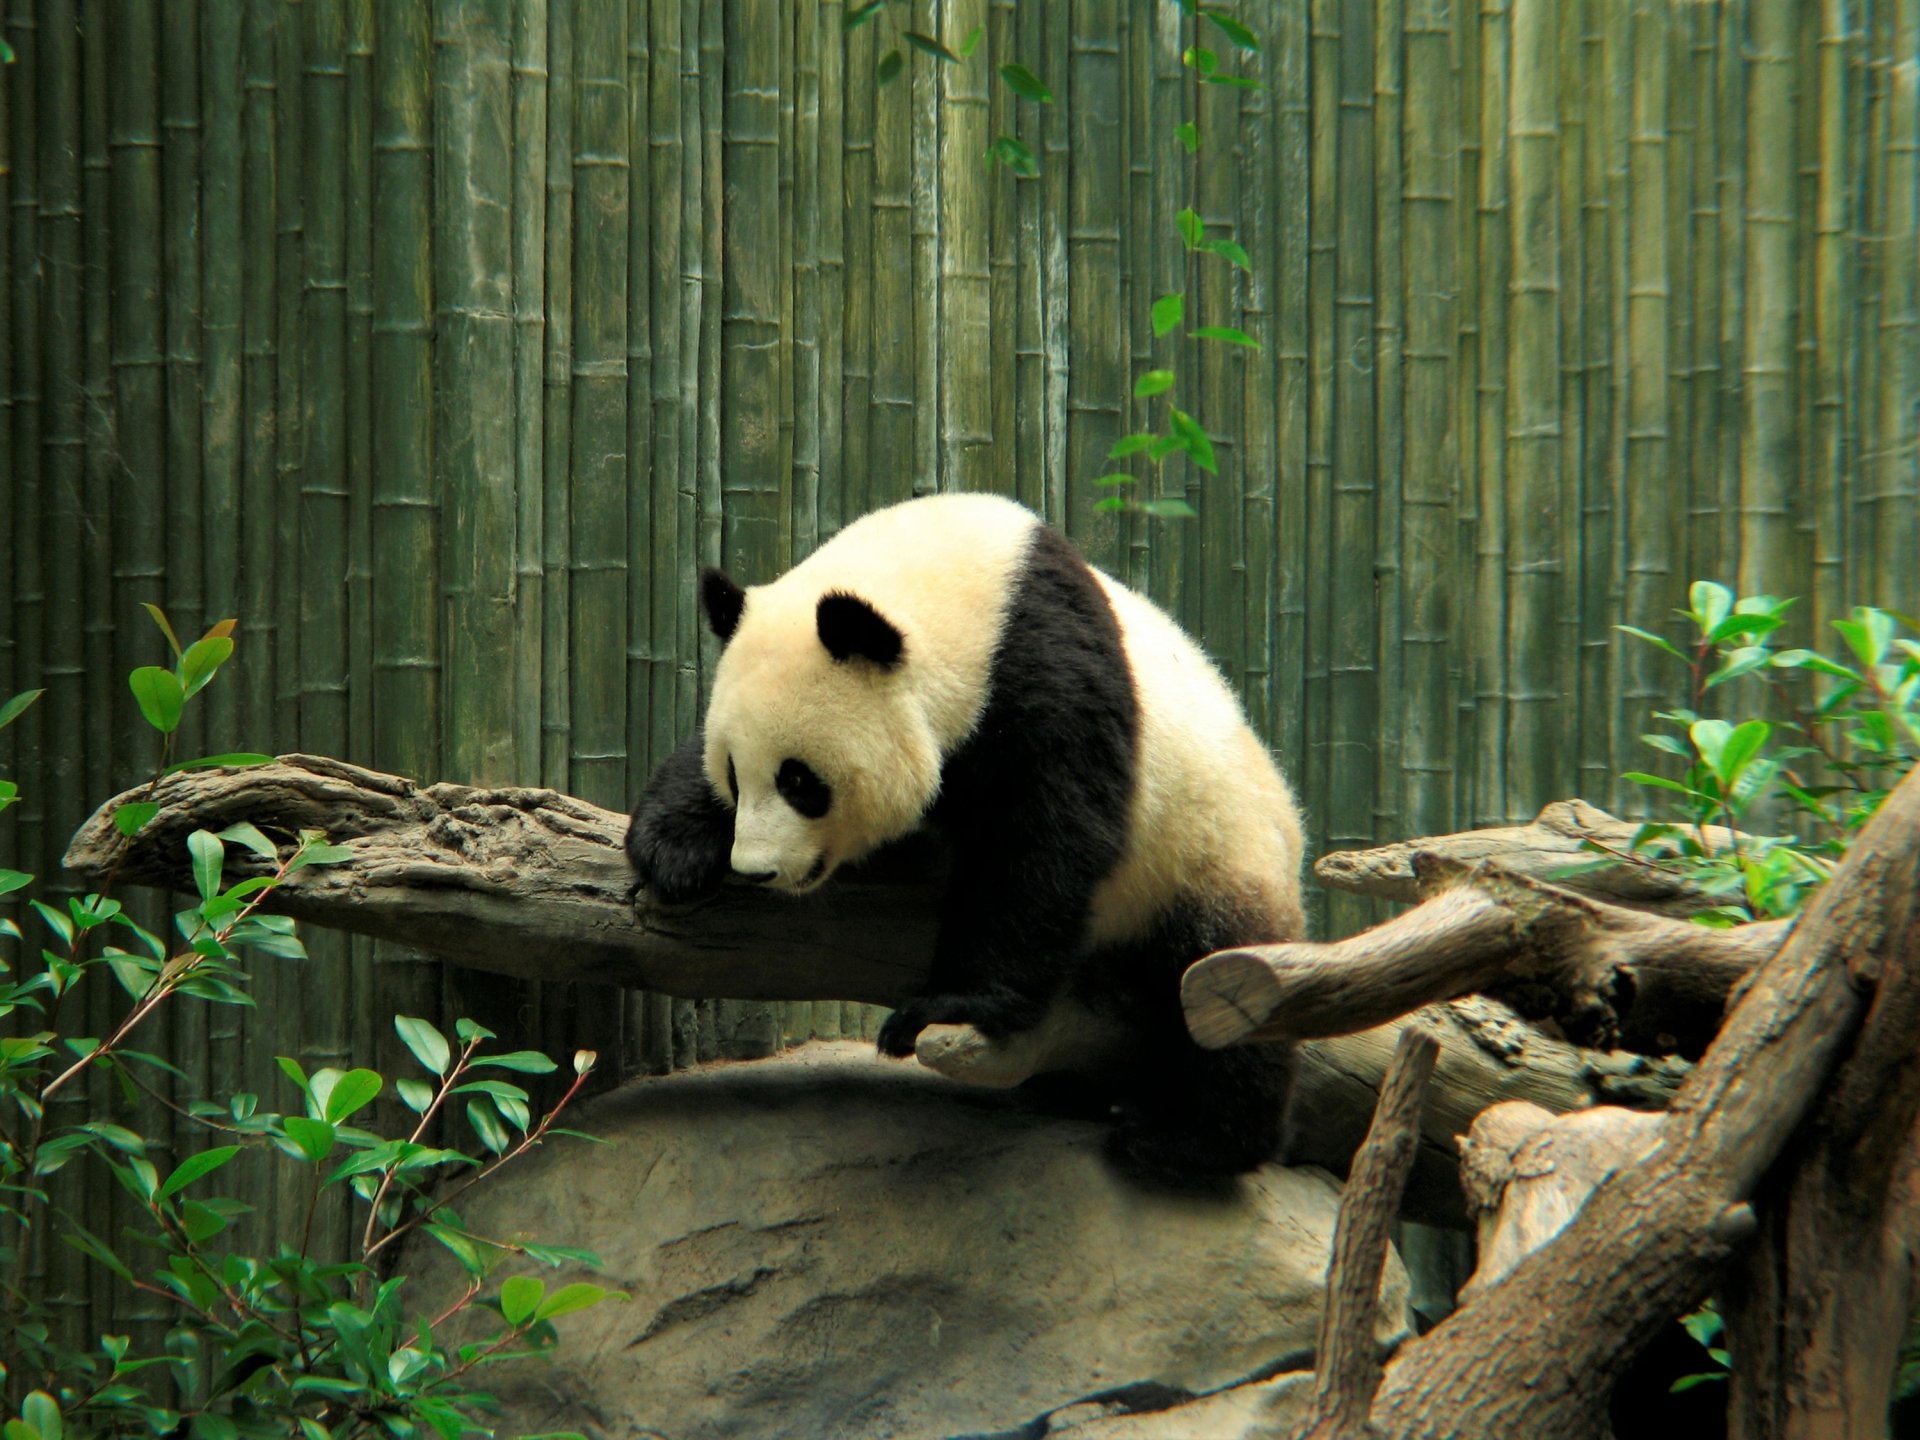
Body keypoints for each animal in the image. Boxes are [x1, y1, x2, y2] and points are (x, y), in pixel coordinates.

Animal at [625, 493, 1306, 1179]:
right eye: (735, 775)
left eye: (800, 780)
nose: (757, 868)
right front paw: (673, 846)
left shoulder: (1049, 680)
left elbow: (1045, 845)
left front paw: (951, 1005)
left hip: (1210, 855)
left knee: (1216, 993)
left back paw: (1184, 1139)